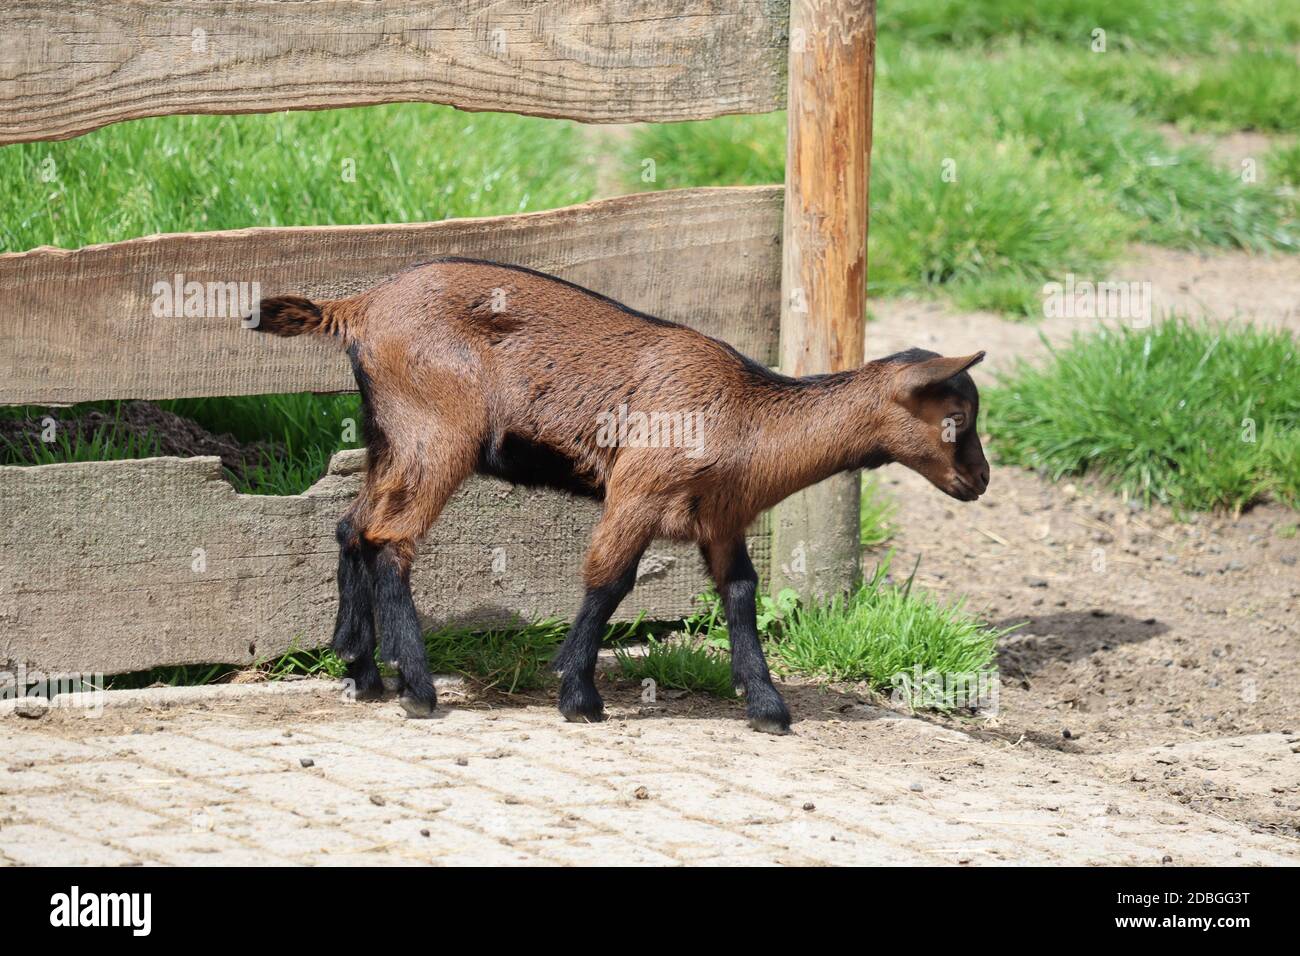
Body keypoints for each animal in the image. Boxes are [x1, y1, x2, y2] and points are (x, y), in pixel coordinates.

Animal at [245, 256, 982, 733]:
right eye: (958, 417)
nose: (980, 482)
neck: (747, 417)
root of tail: (359, 308)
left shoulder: (721, 519)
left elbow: (741, 594)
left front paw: (767, 705)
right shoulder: (637, 489)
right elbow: (609, 580)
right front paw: (578, 694)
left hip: (391, 437)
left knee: (353, 525)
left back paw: (361, 668)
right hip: (438, 431)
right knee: (392, 540)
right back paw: (418, 690)